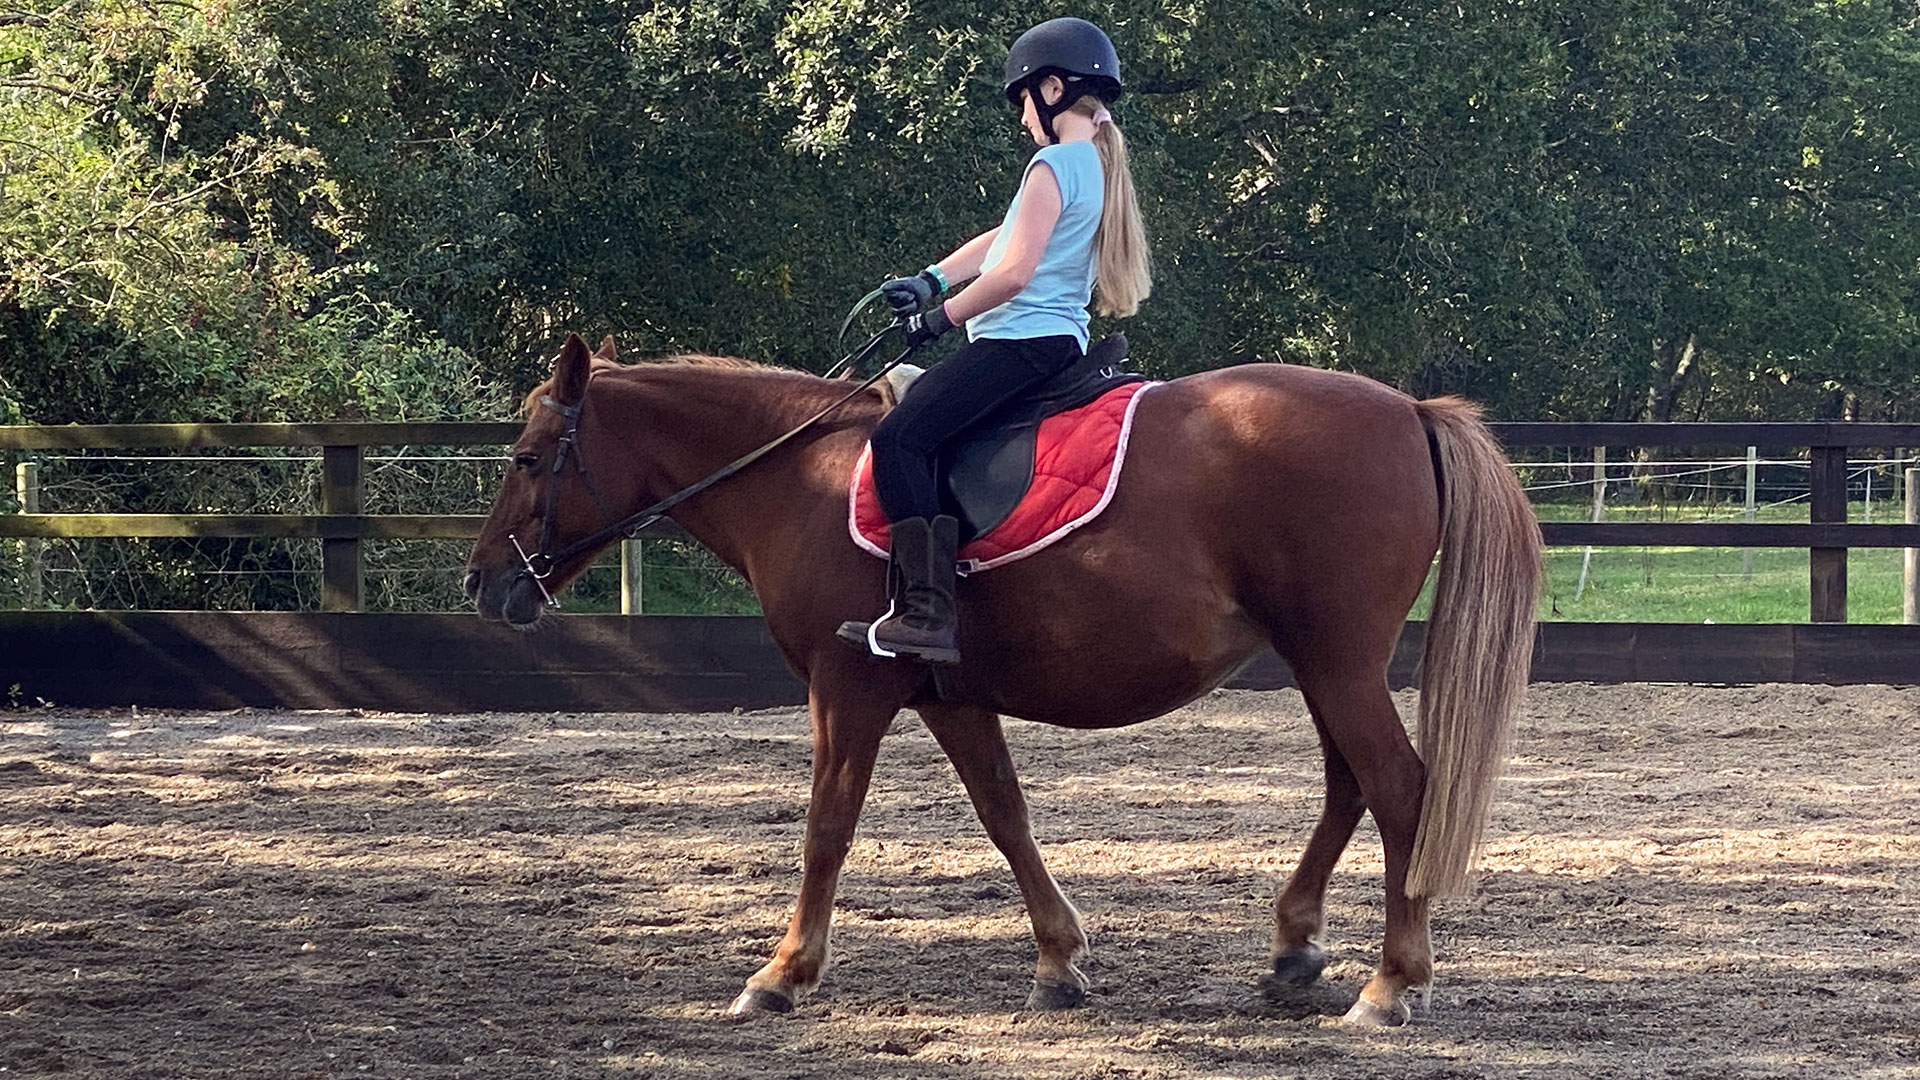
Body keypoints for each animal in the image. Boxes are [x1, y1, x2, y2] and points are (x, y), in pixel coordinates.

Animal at [464, 332, 1541, 1027]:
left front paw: (781, 973)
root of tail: (1409, 409)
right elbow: (1005, 814)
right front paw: (1059, 962)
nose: (481, 584)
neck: (803, 476)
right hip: (1322, 661)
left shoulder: (849, 688)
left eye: (527, 458)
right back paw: (1293, 950)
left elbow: (827, 828)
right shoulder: (952, 698)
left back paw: (1391, 984)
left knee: (1397, 785)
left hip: (1338, 657)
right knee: (1350, 782)